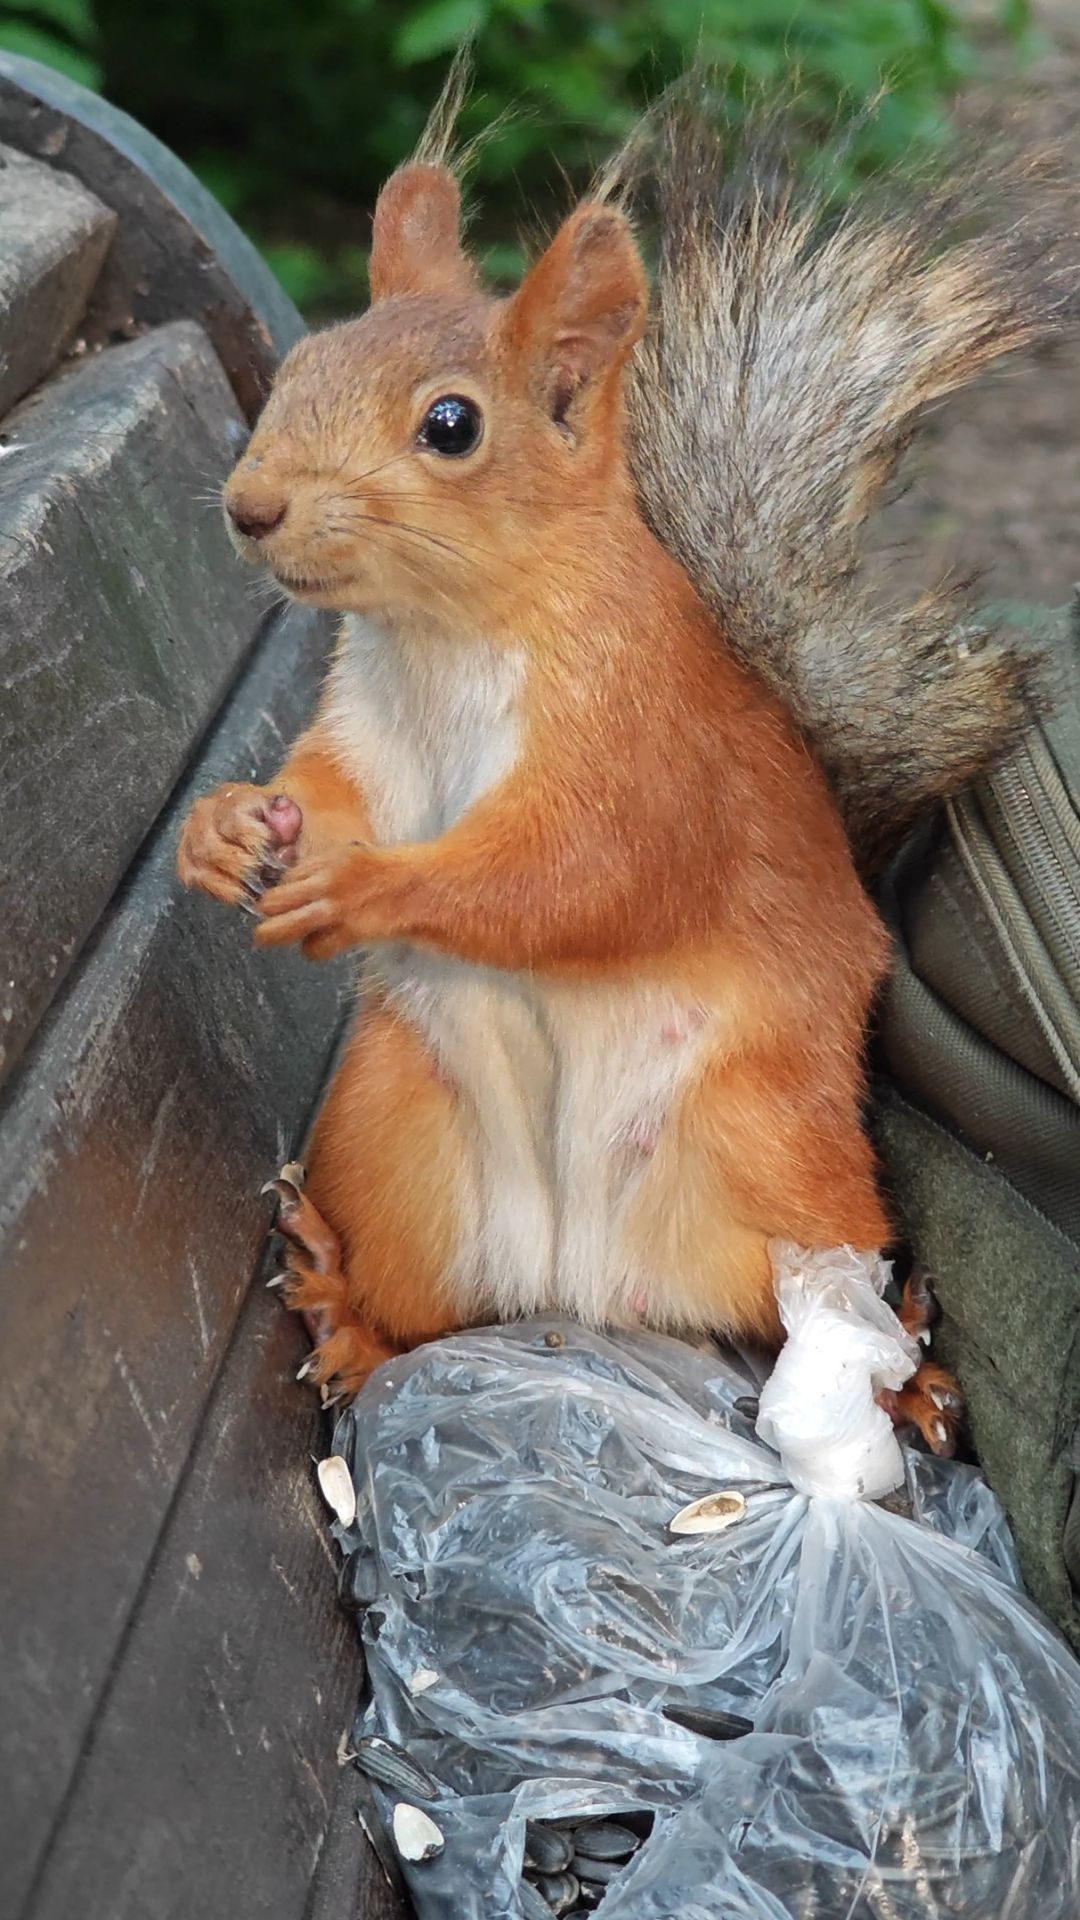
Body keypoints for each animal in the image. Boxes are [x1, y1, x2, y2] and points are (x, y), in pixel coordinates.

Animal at [178, 77, 1072, 1449]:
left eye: (451, 426)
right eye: (299, 367)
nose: (250, 507)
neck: (446, 637)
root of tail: (582, 1282)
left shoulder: (641, 750)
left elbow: (573, 878)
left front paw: (375, 890)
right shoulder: (368, 732)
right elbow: (328, 797)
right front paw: (226, 828)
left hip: (776, 1155)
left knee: (815, 1296)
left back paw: (904, 1373)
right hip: (392, 1136)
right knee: (420, 1311)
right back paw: (342, 1308)